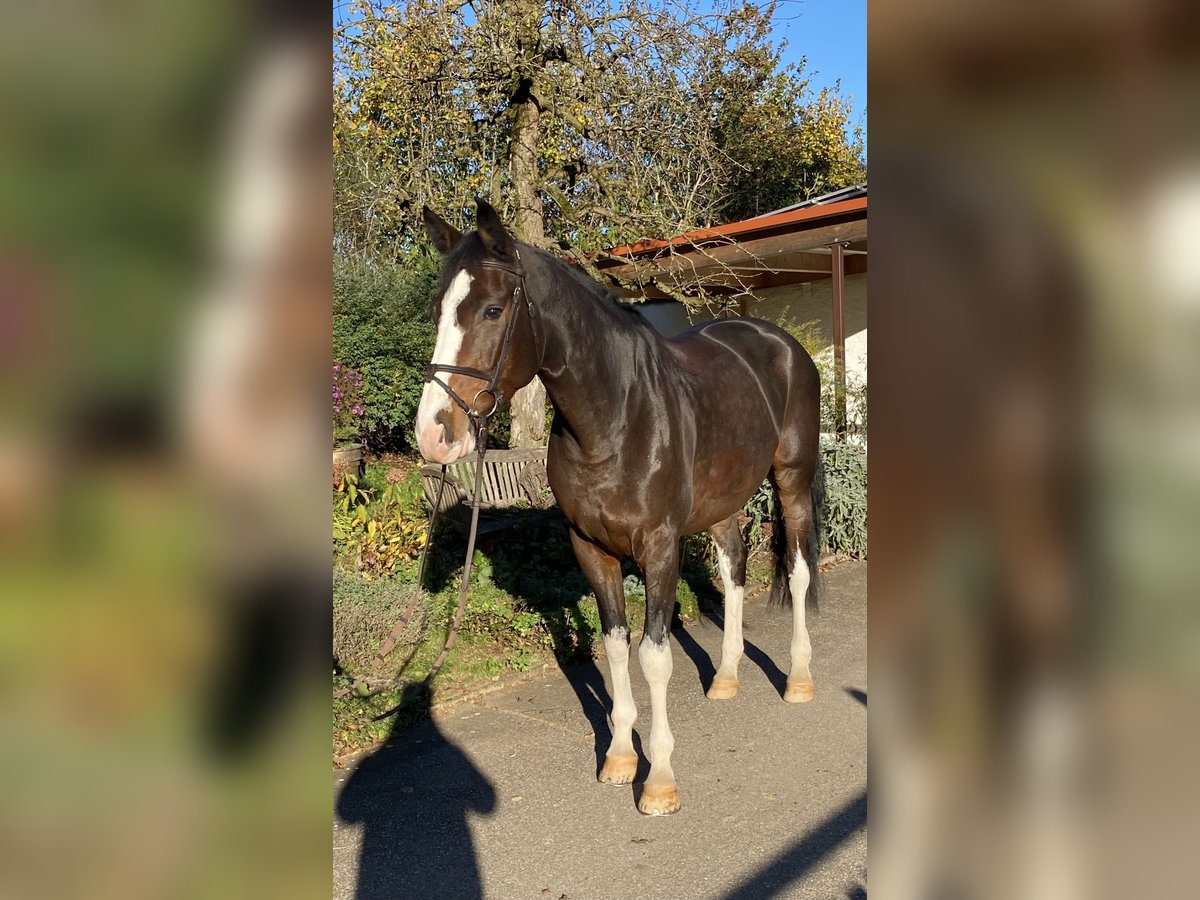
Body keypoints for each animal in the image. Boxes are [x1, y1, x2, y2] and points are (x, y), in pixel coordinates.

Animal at [416, 200, 823, 816]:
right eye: (438, 309)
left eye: (491, 309)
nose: (434, 435)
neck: (615, 419)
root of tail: (778, 341)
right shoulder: (590, 548)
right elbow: (614, 647)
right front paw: (620, 758)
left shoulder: (659, 546)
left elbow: (654, 656)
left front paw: (659, 780)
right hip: (724, 500)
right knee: (733, 571)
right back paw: (726, 677)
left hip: (792, 480)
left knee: (797, 572)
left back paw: (798, 680)